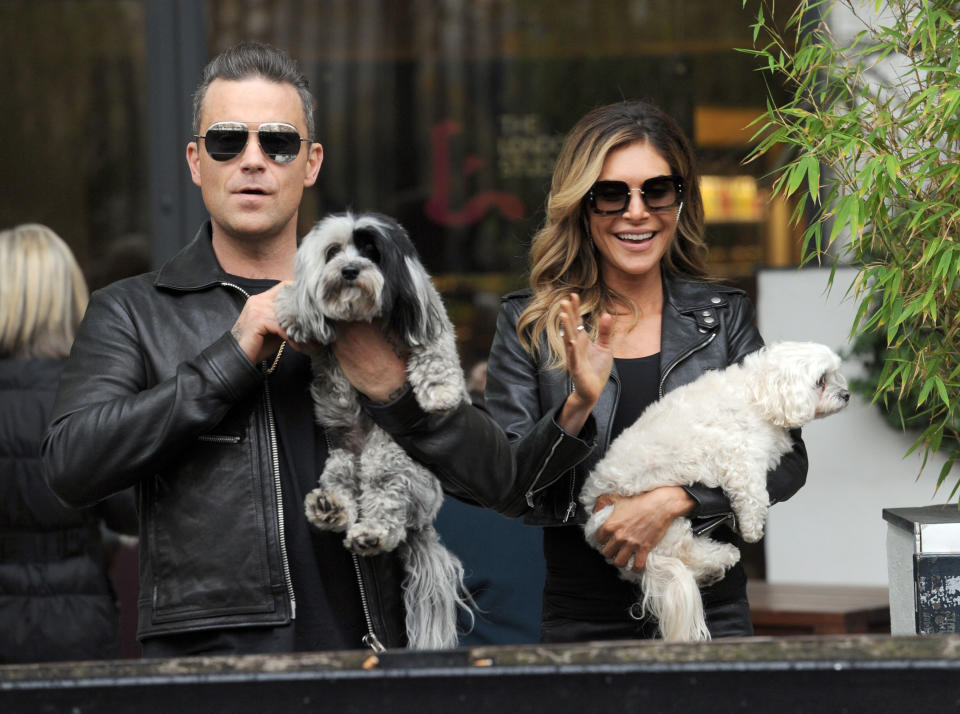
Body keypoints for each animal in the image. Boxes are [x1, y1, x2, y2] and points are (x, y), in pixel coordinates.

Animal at [274, 209, 472, 648]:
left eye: (371, 252)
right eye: (333, 252)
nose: (350, 270)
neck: (361, 318)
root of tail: (422, 523)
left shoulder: (428, 318)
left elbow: (436, 351)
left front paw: (442, 390)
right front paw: (292, 311)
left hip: (389, 455)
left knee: (386, 511)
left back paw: (371, 534)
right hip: (341, 457)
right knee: (346, 491)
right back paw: (329, 509)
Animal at [576, 340, 848, 640]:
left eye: (835, 374)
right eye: (821, 380)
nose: (846, 395)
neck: (760, 393)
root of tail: (591, 523)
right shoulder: (737, 456)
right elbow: (753, 494)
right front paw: (752, 529)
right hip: (661, 527)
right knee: (685, 553)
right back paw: (723, 556)